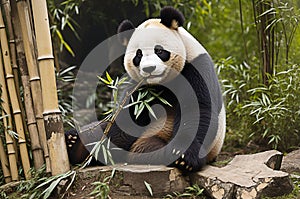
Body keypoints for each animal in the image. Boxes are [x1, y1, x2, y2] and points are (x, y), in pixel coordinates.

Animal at [65, 6, 225, 173]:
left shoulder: (195, 68)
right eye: (139, 55)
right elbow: (125, 118)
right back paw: (73, 142)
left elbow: (197, 109)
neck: (161, 84)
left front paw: (183, 156)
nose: (149, 68)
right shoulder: (137, 87)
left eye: (159, 50)